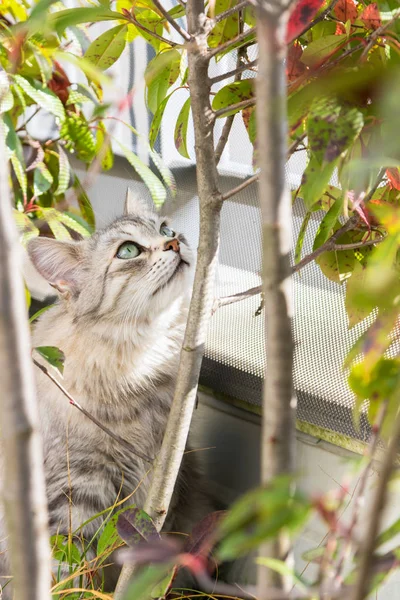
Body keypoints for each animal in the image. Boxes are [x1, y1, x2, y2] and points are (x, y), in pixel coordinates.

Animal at [0, 190, 206, 596]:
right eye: (128, 251)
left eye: (165, 229)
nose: (175, 242)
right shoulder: (77, 491)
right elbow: (69, 573)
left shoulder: (168, 481)